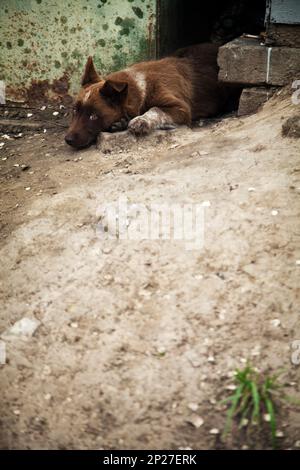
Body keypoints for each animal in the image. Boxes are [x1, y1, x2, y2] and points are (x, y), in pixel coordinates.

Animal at [65, 43, 237, 149]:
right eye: (74, 111)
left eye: (93, 116)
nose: (68, 139)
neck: (140, 86)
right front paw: (121, 123)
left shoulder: (181, 108)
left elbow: (155, 109)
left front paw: (140, 121)